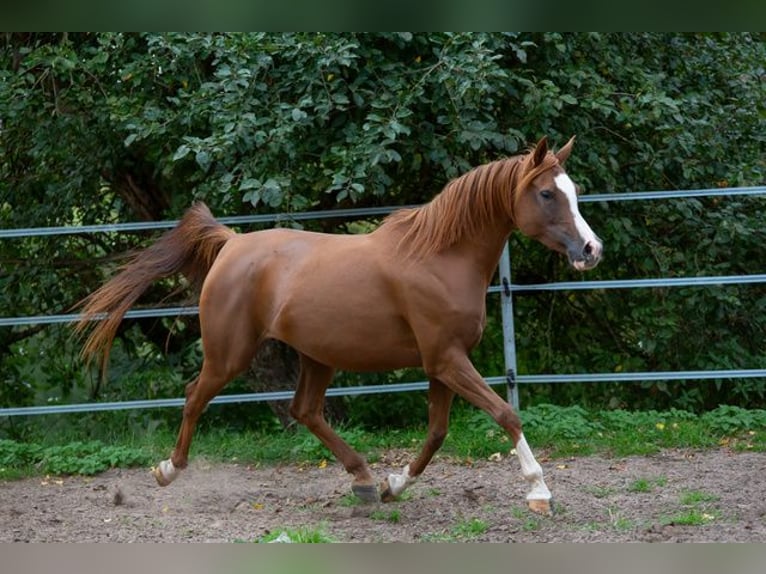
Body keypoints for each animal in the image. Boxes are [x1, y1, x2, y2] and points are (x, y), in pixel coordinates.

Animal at [75, 136, 602, 515]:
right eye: (547, 193)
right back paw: (168, 469)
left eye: (574, 192)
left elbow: (436, 433)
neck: (440, 257)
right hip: (230, 355)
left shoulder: (442, 364)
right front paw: (539, 492)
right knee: (194, 397)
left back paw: (365, 481)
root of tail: (231, 243)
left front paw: (393, 486)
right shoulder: (447, 361)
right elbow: (506, 414)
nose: (591, 250)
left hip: (317, 356)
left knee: (305, 411)